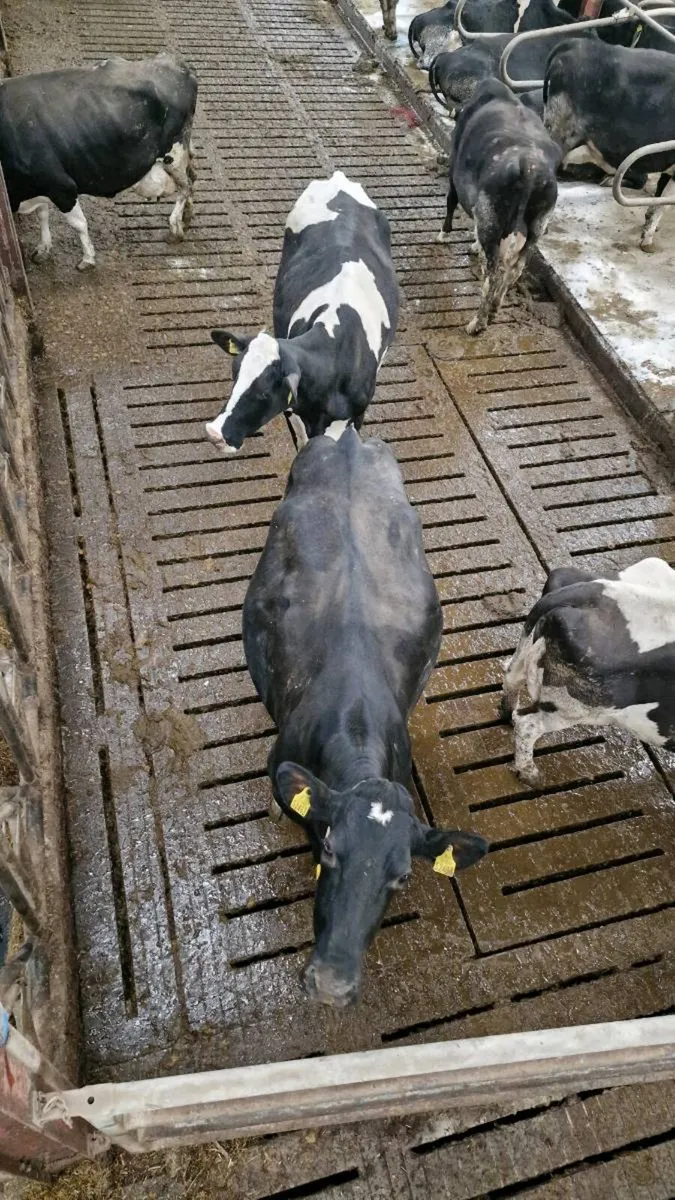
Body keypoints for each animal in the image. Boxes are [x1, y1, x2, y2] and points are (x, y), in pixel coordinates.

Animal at [1, 54, 197, 271]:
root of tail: (175, 62)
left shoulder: (61, 186)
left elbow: (77, 223)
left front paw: (87, 258)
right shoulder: (40, 187)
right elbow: (42, 214)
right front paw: (43, 249)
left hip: (174, 153)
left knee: (186, 186)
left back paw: (175, 229)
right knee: (192, 176)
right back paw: (186, 218)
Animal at [205, 172, 399, 453]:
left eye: (264, 393)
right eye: (235, 374)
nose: (215, 433)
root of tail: (338, 180)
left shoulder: (355, 416)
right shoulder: (294, 412)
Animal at [438, 79, 561, 334]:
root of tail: (530, 166)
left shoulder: (454, 172)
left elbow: (451, 201)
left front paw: (443, 235)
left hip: (491, 219)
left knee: (494, 274)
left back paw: (477, 323)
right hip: (536, 226)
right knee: (515, 269)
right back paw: (494, 308)